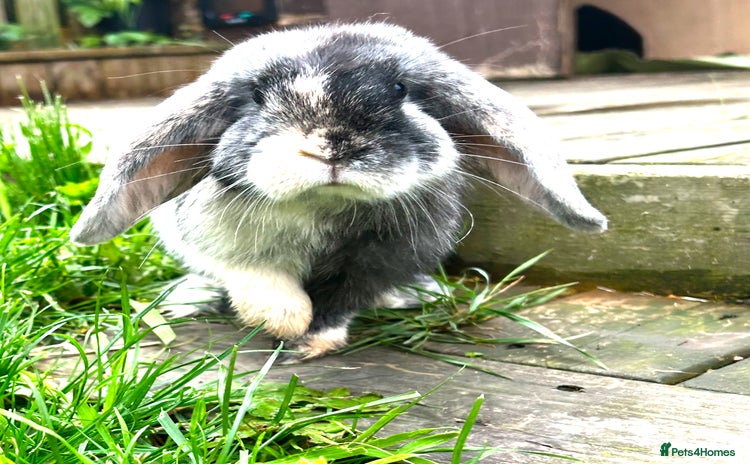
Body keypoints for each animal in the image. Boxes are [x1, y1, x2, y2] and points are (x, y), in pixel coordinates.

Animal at [70, 22, 607, 360]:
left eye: (400, 89)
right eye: (257, 95)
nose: (332, 146)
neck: (323, 207)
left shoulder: (376, 261)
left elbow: (341, 301)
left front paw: (313, 341)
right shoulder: (219, 243)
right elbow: (256, 277)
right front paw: (284, 320)